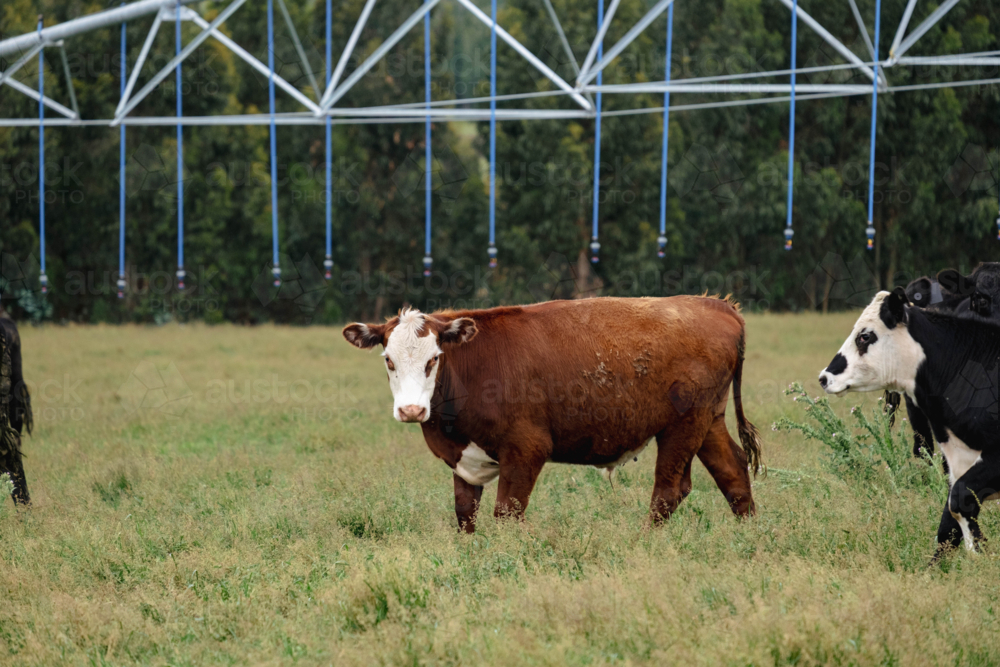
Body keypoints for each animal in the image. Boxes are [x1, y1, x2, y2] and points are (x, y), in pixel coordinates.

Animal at [342, 296, 763, 533]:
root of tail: (717, 305)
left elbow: (508, 512)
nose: (411, 410)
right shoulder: (466, 458)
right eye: (388, 359)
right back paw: (750, 538)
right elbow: (465, 514)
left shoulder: (526, 449)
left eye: (433, 359)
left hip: (684, 425)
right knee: (733, 472)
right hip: (708, 420)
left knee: (668, 491)